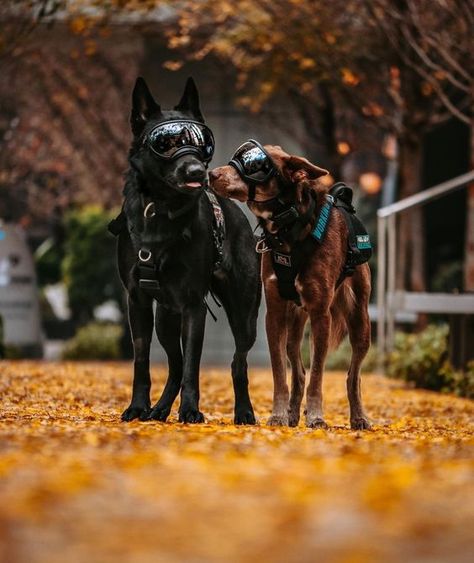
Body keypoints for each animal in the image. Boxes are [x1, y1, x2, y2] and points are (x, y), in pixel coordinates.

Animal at [114, 77, 262, 426]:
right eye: (165, 143)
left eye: (202, 143)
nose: (198, 171)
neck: (162, 209)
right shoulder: (137, 302)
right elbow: (142, 362)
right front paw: (138, 407)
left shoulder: (194, 306)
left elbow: (194, 366)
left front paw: (191, 410)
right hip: (166, 320)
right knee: (175, 365)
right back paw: (158, 410)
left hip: (243, 315)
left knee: (237, 362)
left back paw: (243, 411)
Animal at [209, 143, 372, 430]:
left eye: (255, 165)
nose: (211, 174)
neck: (289, 229)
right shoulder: (274, 315)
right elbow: (280, 374)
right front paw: (279, 414)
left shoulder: (321, 315)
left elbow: (318, 375)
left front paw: (316, 416)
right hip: (294, 326)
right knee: (298, 371)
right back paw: (293, 414)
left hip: (359, 322)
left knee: (353, 376)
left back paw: (358, 417)